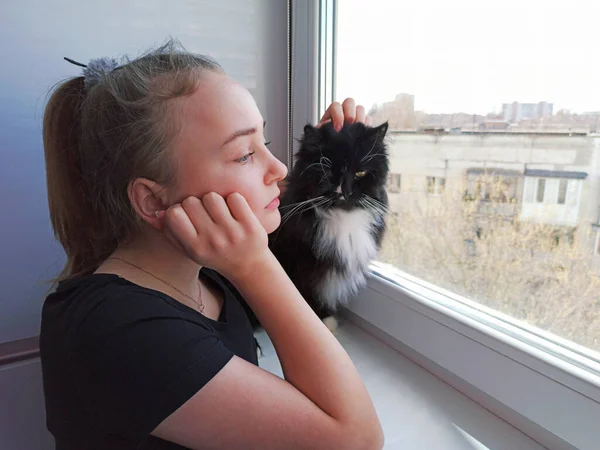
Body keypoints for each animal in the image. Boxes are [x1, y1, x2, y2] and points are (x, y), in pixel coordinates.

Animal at [268, 122, 390, 330]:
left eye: (360, 173)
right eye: (330, 171)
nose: (346, 191)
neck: (343, 218)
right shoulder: (304, 272)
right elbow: (307, 298)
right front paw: (322, 321)